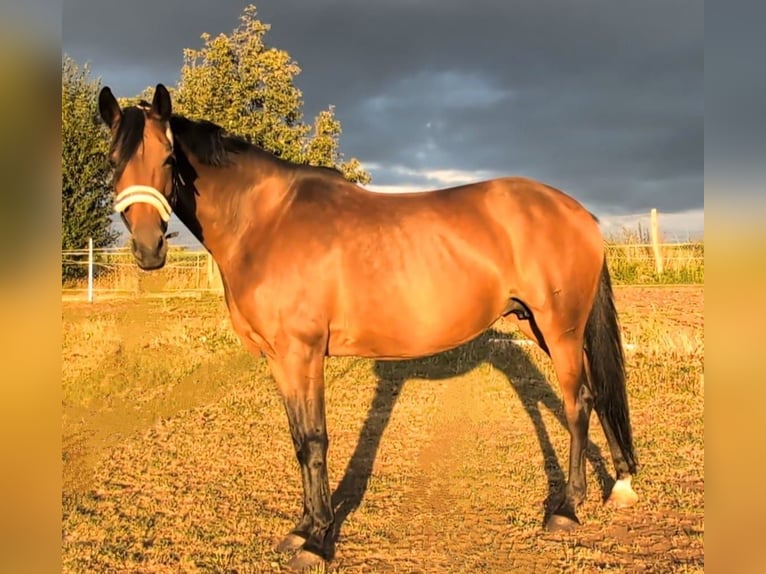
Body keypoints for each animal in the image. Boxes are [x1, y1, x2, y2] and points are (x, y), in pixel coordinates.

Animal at [96, 84, 640, 572]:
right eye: (113, 160)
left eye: (169, 159)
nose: (148, 248)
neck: (266, 221)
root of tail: (578, 212)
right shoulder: (279, 359)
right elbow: (298, 440)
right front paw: (302, 528)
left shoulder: (302, 352)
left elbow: (315, 440)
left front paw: (319, 540)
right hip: (540, 327)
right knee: (597, 394)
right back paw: (621, 484)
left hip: (560, 329)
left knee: (578, 402)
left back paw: (566, 509)